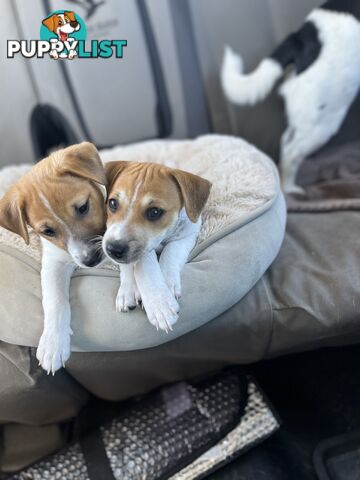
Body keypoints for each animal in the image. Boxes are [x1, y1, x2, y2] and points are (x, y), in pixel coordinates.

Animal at [0, 142, 107, 376]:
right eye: (48, 231)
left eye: (83, 207)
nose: (91, 260)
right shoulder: (54, 262)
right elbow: (54, 299)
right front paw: (53, 343)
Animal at [102, 161, 212, 330]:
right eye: (113, 203)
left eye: (154, 212)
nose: (112, 249)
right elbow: (143, 265)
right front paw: (158, 303)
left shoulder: (189, 234)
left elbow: (171, 251)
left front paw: (165, 290)